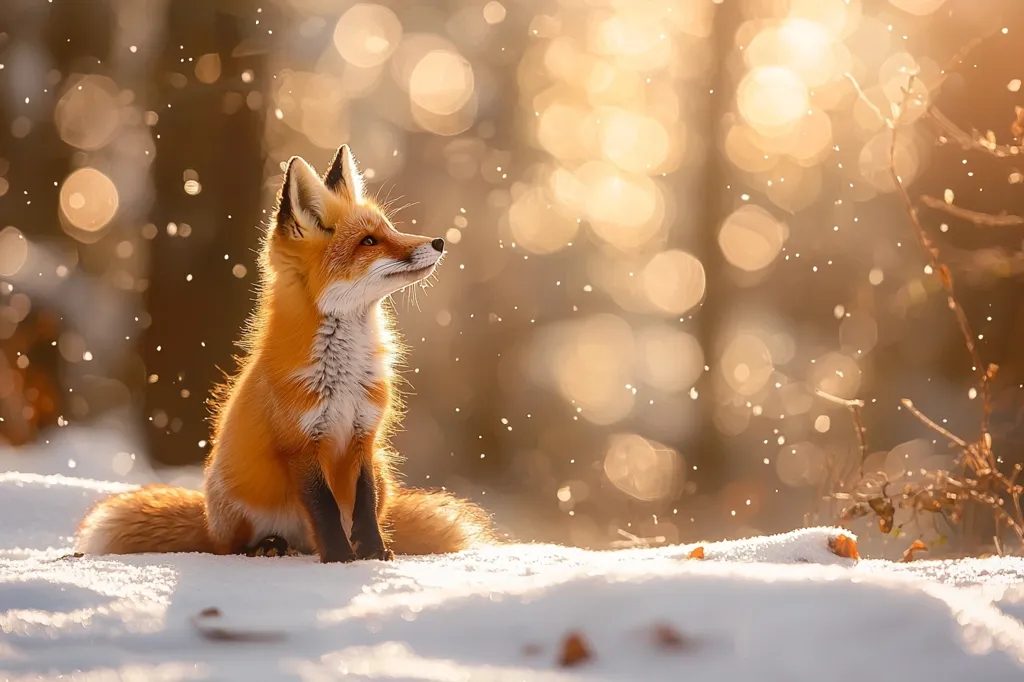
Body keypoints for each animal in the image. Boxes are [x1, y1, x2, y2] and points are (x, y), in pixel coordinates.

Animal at [75, 144, 494, 562]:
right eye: (369, 241)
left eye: (389, 229)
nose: (439, 242)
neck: (343, 376)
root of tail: (207, 522)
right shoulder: (300, 444)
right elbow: (324, 508)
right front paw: (340, 558)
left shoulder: (364, 437)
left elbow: (362, 504)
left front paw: (373, 553)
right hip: (235, 500)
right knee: (231, 547)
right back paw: (268, 546)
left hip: (383, 471)